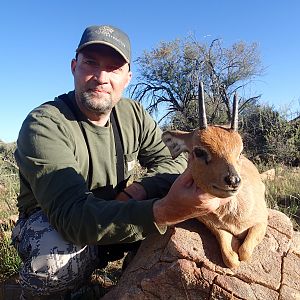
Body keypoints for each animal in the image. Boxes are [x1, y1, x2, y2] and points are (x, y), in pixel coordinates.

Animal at [163, 82, 268, 270]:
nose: (233, 180)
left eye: (240, 151)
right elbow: (230, 258)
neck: (233, 215)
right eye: (199, 151)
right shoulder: (216, 228)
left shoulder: (262, 221)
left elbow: (245, 252)